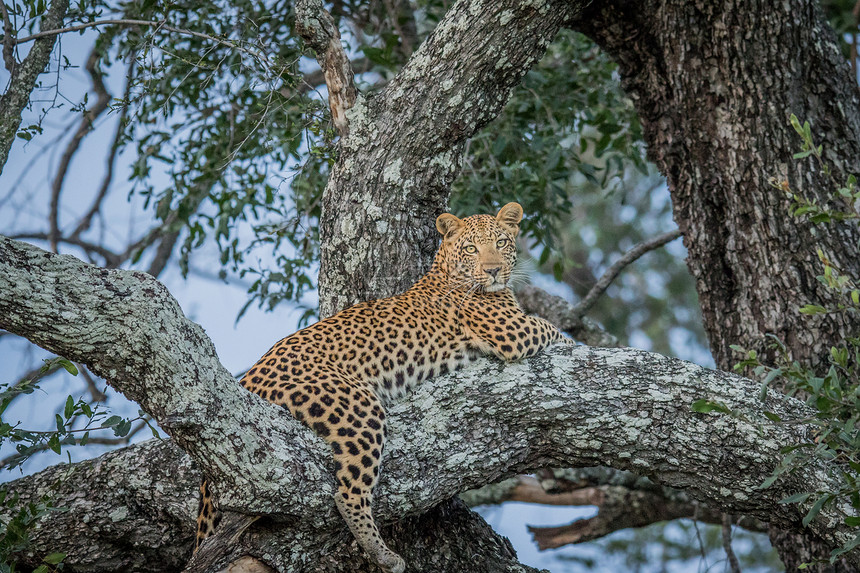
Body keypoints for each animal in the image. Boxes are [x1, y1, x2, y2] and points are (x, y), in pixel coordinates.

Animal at [196, 202, 572, 572]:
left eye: (501, 243)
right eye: (471, 249)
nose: (493, 271)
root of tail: (248, 376)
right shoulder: (514, 332)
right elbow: (553, 329)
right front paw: (572, 341)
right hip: (358, 407)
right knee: (347, 493)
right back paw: (383, 554)